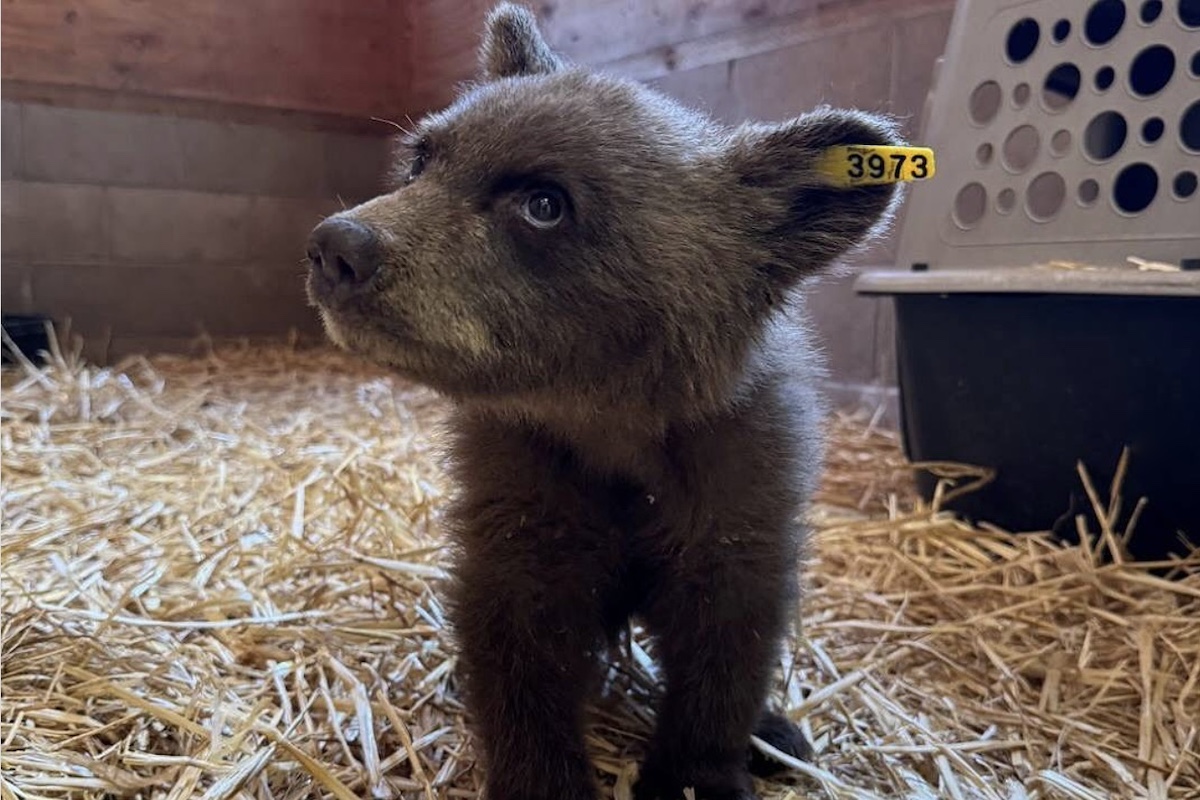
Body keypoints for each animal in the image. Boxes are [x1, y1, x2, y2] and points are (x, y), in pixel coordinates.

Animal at [304, 4, 902, 798]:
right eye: (422, 159)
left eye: (543, 202)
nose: (336, 246)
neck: (607, 421)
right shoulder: (523, 496)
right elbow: (520, 649)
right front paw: (542, 776)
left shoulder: (735, 498)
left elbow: (724, 653)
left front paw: (700, 771)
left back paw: (775, 734)